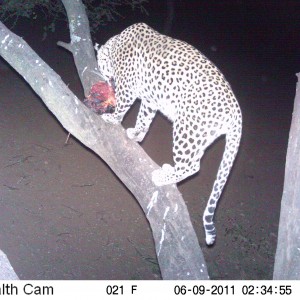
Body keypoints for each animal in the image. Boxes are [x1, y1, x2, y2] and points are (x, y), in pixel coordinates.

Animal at [96, 22, 244, 244]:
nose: (106, 80)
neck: (116, 45)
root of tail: (236, 112)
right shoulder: (150, 99)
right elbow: (144, 117)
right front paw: (137, 134)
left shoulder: (128, 87)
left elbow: (123, 104)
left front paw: (112, 118)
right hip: (199, 136)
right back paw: (168, 170)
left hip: (187, 129)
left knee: (192, 165)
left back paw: (162, 176)